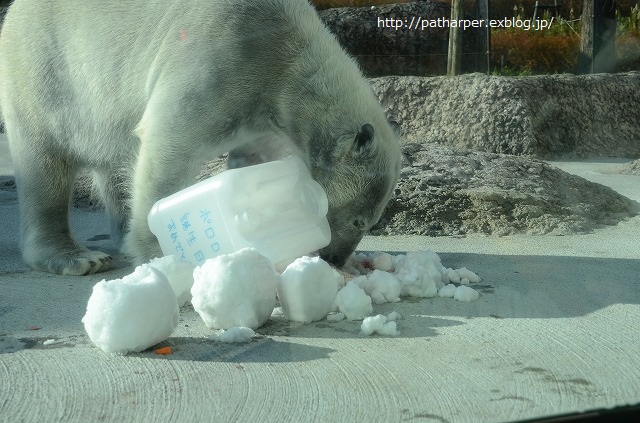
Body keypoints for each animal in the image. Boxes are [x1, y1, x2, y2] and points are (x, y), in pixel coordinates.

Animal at [0, 0, 400, 274]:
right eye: (361, 220)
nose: (335, 258)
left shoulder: (262, 112)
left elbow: (251, 161)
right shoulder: (221, 54)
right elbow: (169, 142)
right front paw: (159, 251)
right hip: (45, 71)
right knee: (45, 162)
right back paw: (77, 257)